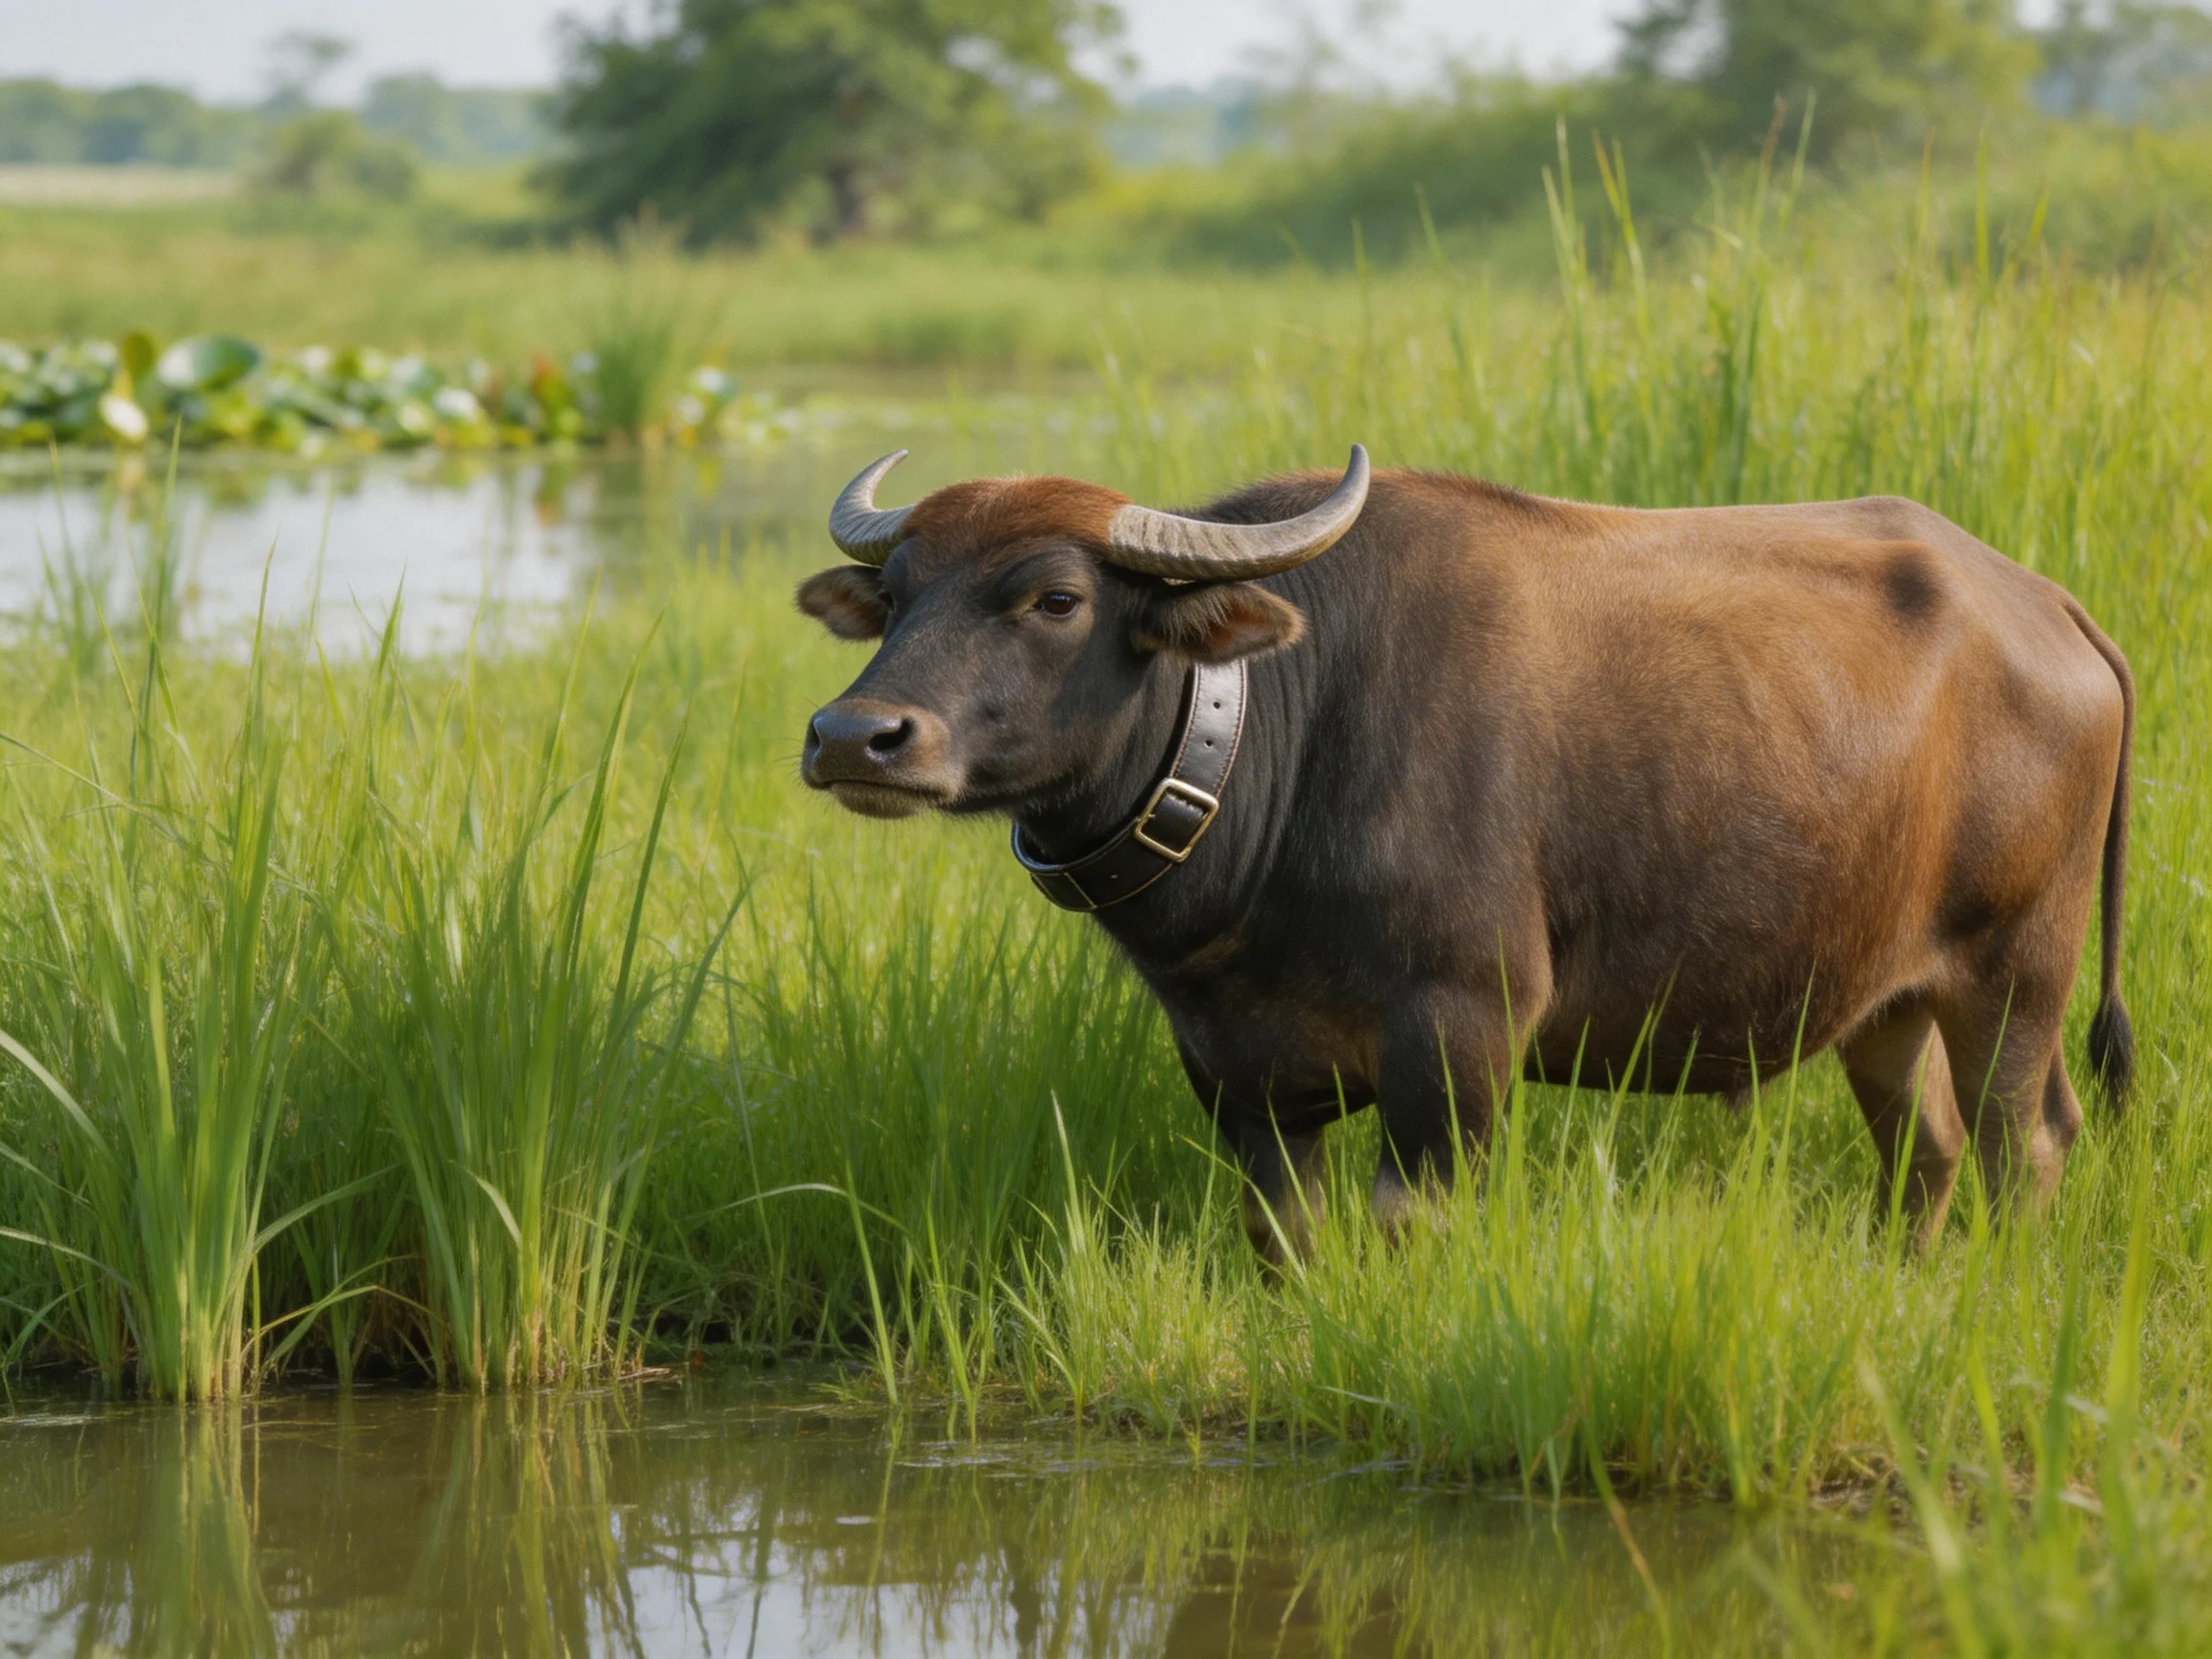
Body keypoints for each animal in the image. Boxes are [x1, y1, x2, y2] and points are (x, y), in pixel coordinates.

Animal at [797, 448, 2133, 1259]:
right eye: (899, 594)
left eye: (1056, 599)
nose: (854, 736)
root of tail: (2050, 608)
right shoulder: (1234, 1073)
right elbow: (1285, 1231)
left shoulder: (1461, 1034)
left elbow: (1409, 1218)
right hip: (1881, 997)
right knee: (1928, 1148)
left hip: (2019, 974)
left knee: (2025, 1141)